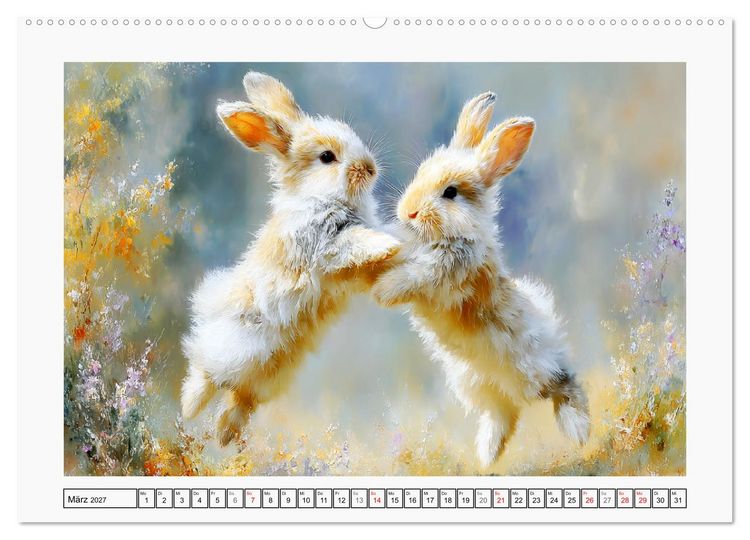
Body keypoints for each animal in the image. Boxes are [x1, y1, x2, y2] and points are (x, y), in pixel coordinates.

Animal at [181, 71, 399, 446]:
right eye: (327, 157)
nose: (369, 168)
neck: (319, 197)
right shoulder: (321, 247)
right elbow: (353, 242)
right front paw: (388, 244)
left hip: (269, 375)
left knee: (239, 397)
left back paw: (224, 435)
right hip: (230, 348)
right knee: (203, 370)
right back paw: (189, 408)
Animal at [372, 92, 590, 468]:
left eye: (450, 193)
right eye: (419, 174)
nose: (409, 212)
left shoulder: (449, 273)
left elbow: (416, 276)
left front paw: (384, 291)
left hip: (536, 367)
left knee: (566, 385)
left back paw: (578, 431)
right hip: (475, 384)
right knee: (504, 415)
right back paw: (486, 457)